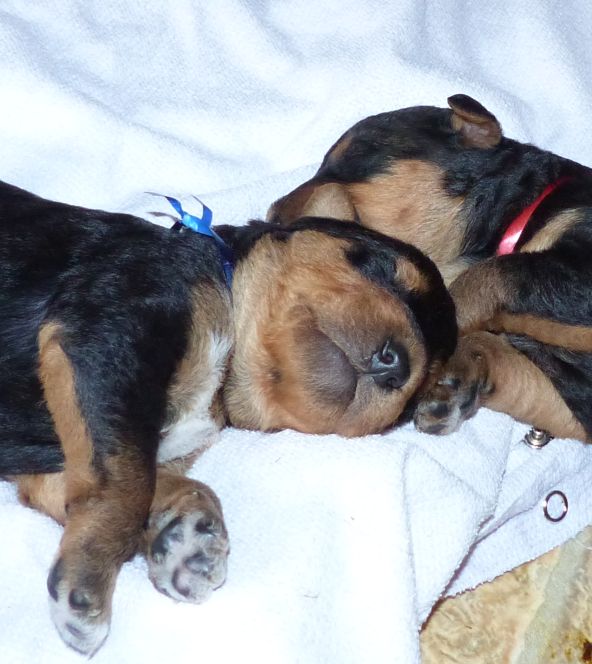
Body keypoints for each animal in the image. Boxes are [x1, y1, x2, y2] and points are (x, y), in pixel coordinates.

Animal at [0, 181, 456, 654]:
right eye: (382, 268)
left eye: (412, 403)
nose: (398, 365)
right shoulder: (111, 328)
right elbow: (127, 486)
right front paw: (88, 580)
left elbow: (116, 480)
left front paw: (185, 535)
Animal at [269, 94, 592, 443]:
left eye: (353, 154)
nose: (271, 213)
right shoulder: (572, 399)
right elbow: (498, 353)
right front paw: (451, 386)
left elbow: (484, 279)